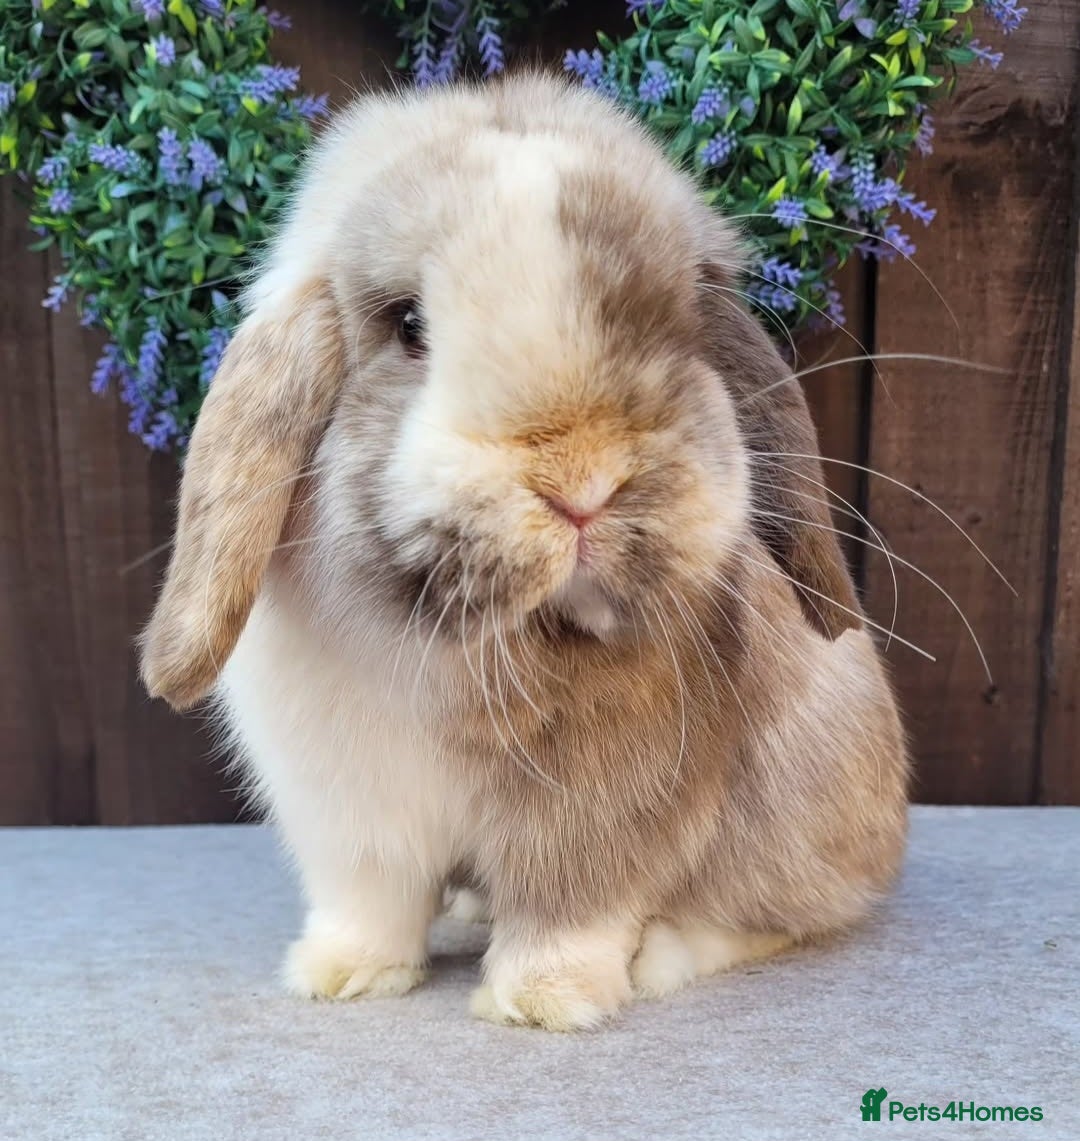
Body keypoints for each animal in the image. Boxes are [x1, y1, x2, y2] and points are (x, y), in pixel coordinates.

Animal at [140, 73, 909, 1031]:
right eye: (408, 325)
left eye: (680, 323)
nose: (582, 482)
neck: (449, 642)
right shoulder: (351, 815)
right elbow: (370, 901)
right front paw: (341, 973)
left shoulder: (600, 814)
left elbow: (569, 907)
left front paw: (543, 1002)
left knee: (783, 913)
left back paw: (660, 955)